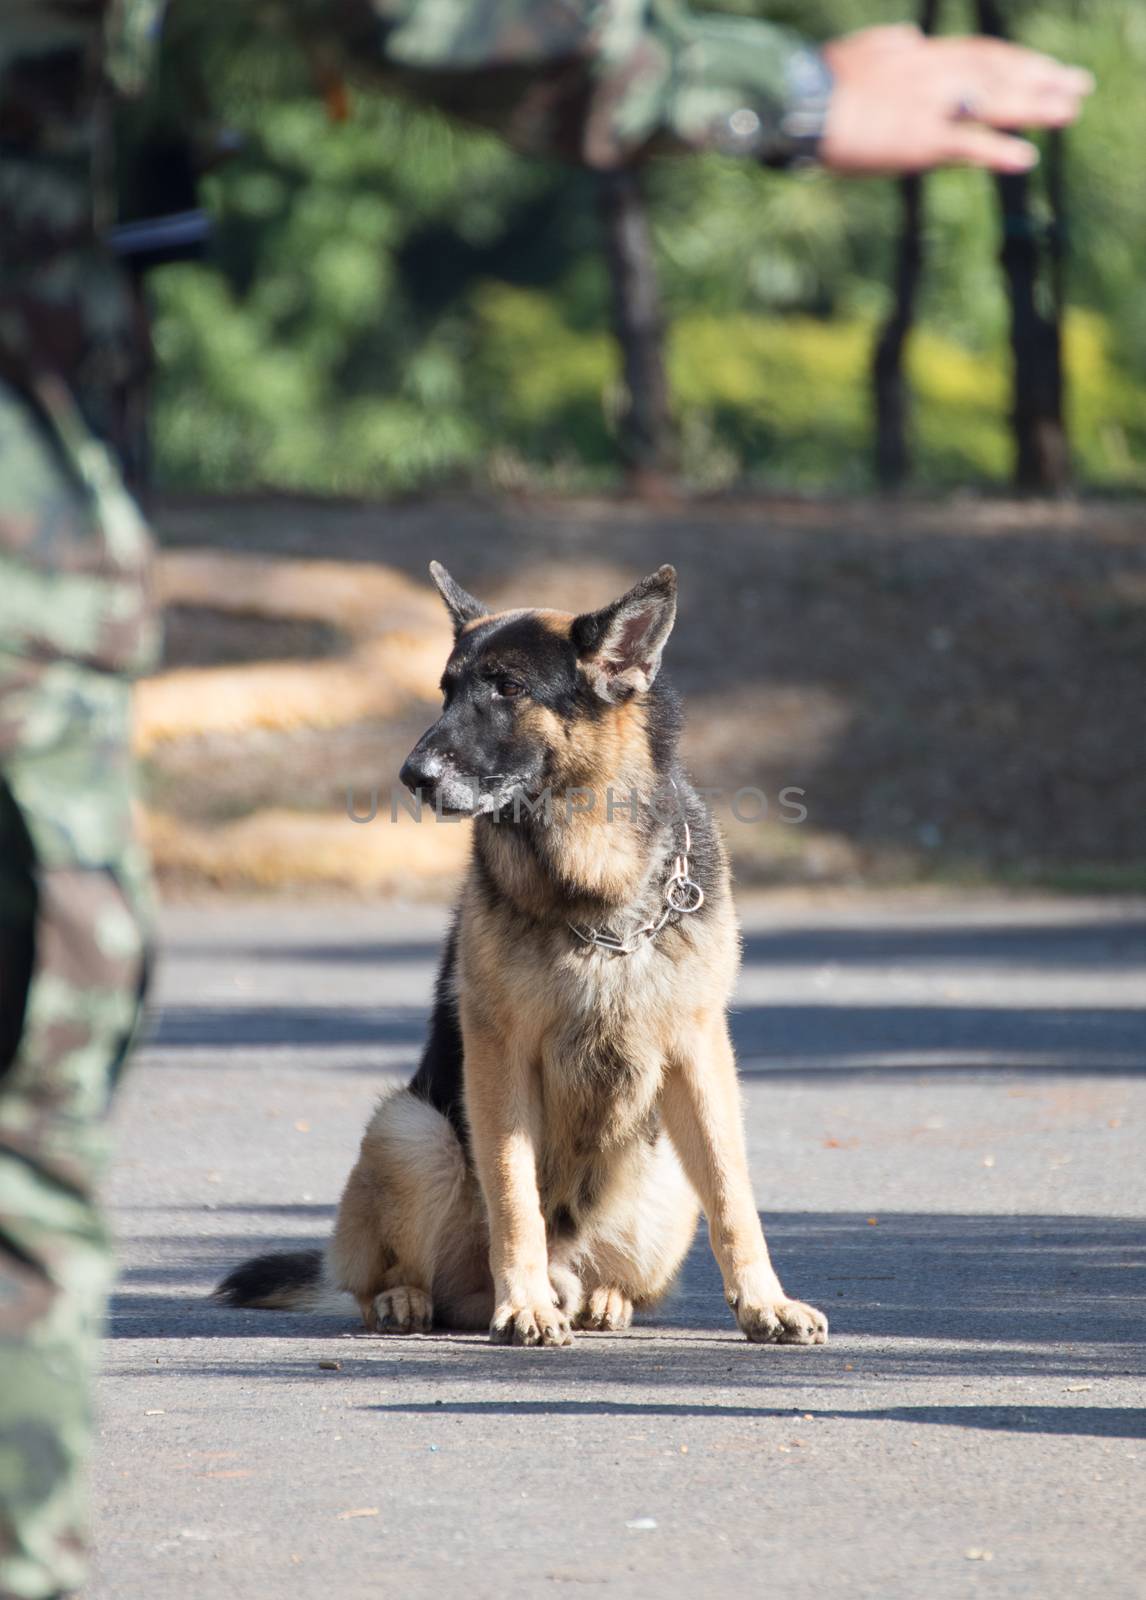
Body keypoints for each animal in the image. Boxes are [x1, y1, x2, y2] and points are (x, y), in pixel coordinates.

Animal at [212, 569, 825, 1344]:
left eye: (508, 688)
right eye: (446, 690)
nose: (412, 775)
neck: (595, 892)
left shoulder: (700, 1053)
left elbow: (731, 1191)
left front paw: (765, 1302)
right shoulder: (500, 1054)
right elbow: (512, 1188)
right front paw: (523, 1304)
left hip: (661, 1170)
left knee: (617, 1268)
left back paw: (602, 1300)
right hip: (410, 1131)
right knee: (403, 1282)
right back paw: (417, 1299)